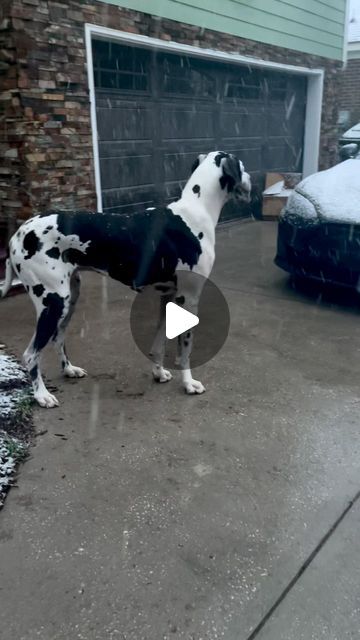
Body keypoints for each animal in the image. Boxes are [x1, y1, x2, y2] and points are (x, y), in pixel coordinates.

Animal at [0, 151, 250, 404]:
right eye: (242, 166)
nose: (250, 179)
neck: (194, 211)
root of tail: (15, 235)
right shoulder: (187, 299)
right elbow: (185, 349)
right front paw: (189, 384)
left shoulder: (168, 296)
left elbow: (159, 342)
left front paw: (158, 373)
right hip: (53, 302)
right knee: (31, 354)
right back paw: (42, 395)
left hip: (69, 299)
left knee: (57, 338)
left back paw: (69, 369)